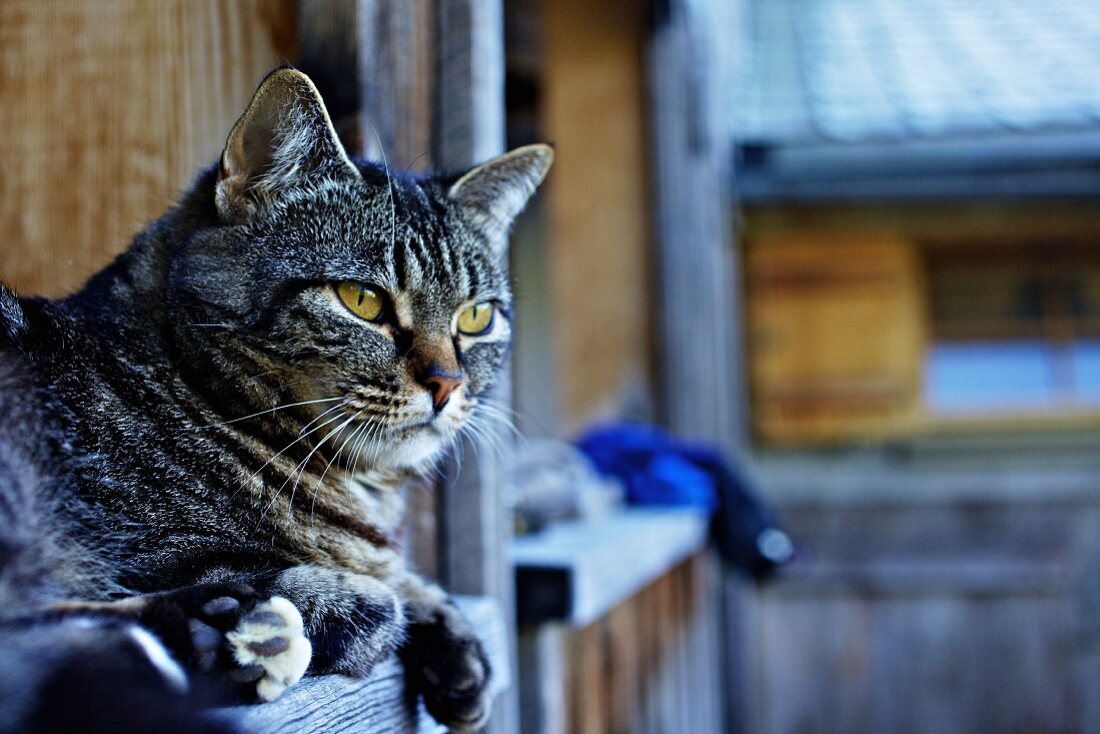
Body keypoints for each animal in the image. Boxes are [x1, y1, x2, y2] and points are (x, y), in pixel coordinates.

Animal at [0, 66, 550, 730]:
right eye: (362, 300)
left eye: (475, 318)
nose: (447, 383)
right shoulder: (142, 546)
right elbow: (329, 583)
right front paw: (353, 602)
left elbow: (406, 579)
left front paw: (454, 643)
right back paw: (222, 633)